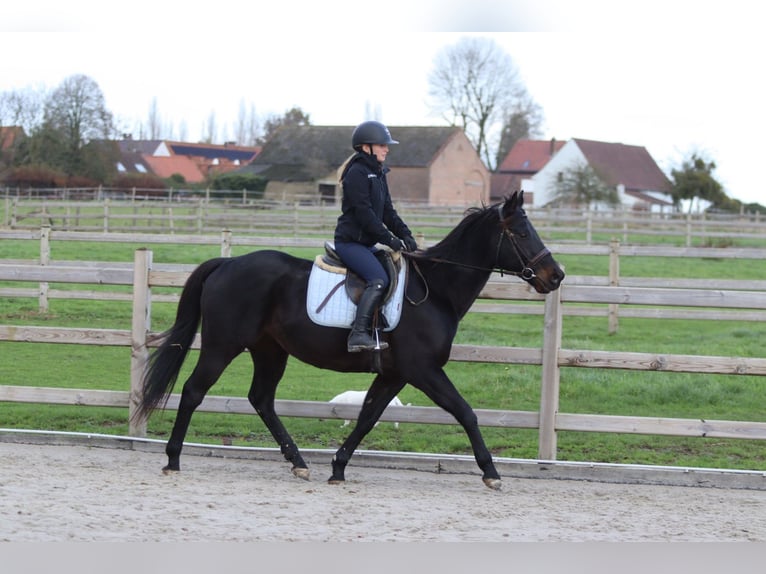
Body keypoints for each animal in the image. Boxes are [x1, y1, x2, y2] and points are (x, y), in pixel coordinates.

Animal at [133, 191, 564, 490]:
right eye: (521, 232)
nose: (556, 276)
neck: (436, 291)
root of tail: (228, 263)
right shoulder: (423, 370)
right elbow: (465, 412)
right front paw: (491, 472)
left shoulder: (394, 374)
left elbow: (367, 417)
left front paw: (338, 467)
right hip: (223, 345)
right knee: (193, 391)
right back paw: (173, 460)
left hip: (270, 351)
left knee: (262, 400)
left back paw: (299, 462)